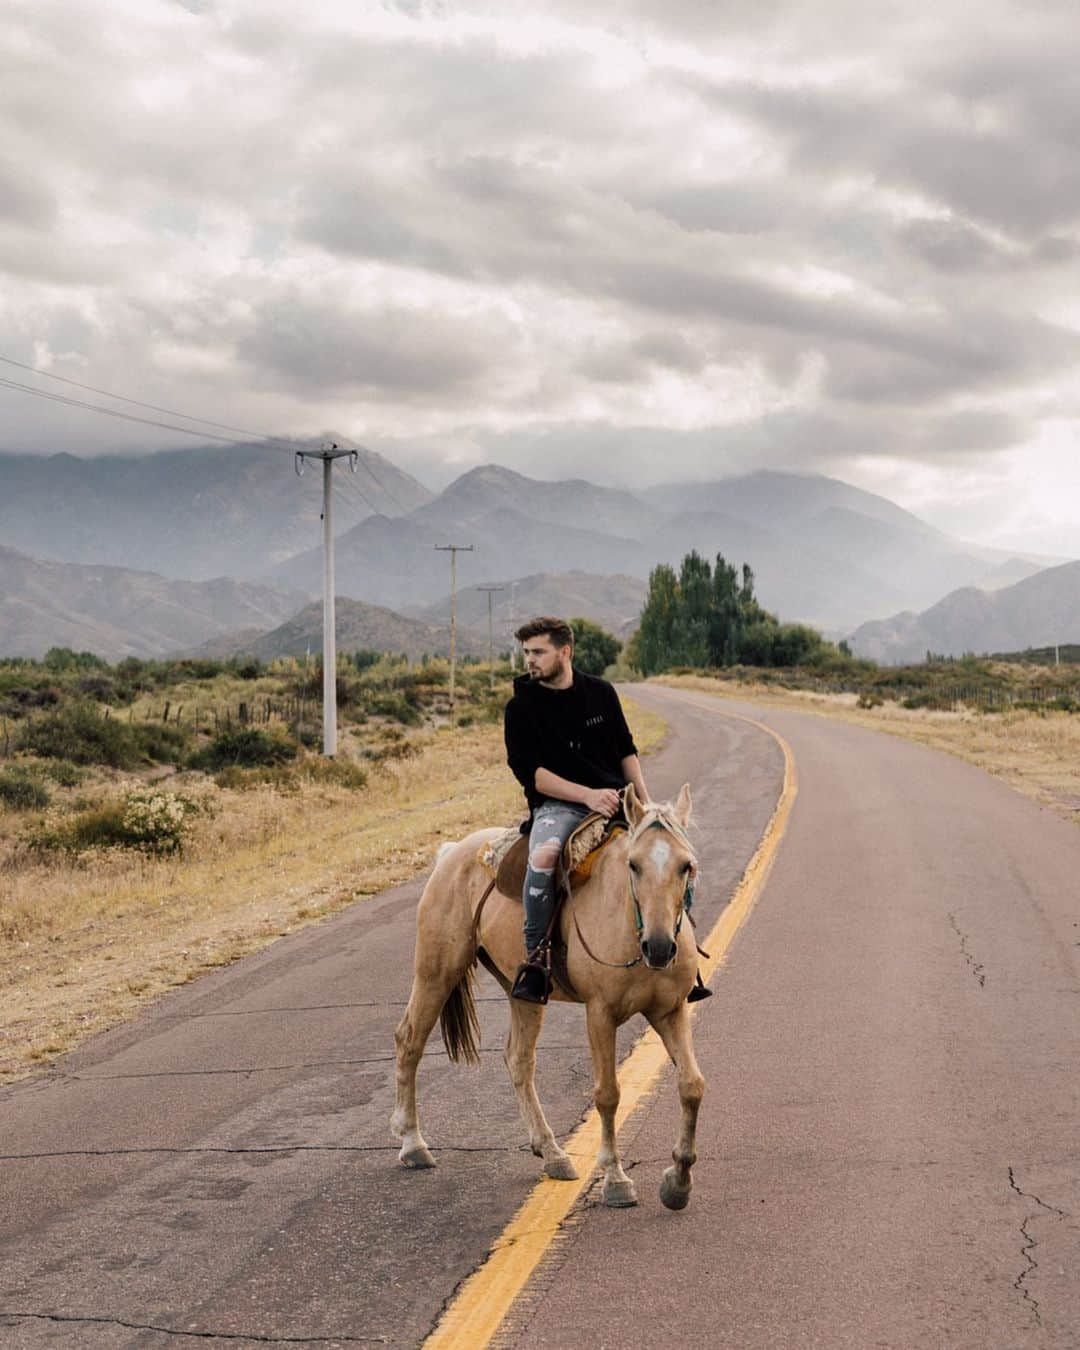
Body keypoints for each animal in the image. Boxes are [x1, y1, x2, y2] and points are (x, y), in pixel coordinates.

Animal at [391, 783, 707, 1215]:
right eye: (634, 865)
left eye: (685, 866)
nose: (659, 948)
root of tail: (451, 853)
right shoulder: (600, 1014)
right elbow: (607, 1094)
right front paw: (615, 1181)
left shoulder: (670, 1011)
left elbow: (691, 1085)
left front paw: (678, 1182)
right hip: (436, 974)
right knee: (409, 1041)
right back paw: (412, 1144)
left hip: (521, 990)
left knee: (519, 1060)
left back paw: (552, 1152)